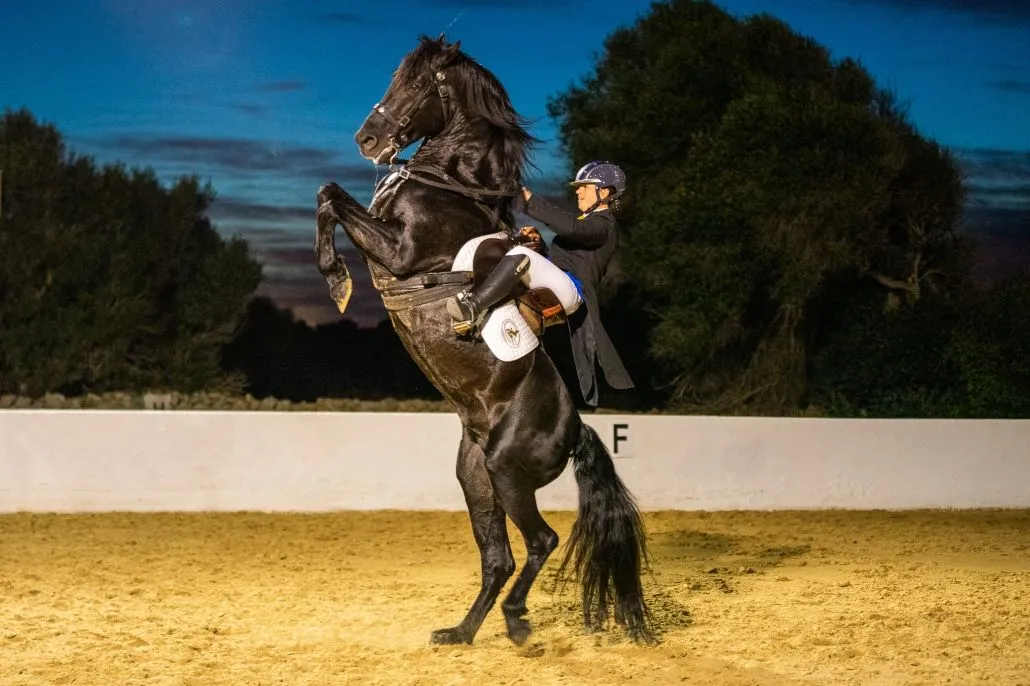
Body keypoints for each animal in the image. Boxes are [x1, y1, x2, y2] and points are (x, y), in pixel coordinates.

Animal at [314, 34, 656, 647]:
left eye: (418, 84)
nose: (367, 140)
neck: (448, 184)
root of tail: (576, 429)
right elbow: (326, 196)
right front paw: (336, 278)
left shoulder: (401, 251)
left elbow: (331, 196)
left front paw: (337, 279)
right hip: (475, 474)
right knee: (498, 557)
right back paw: (463, 632)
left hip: (507, 471)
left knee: (540, 541)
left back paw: (516, 620)